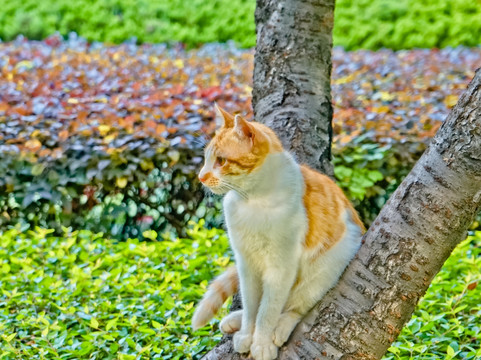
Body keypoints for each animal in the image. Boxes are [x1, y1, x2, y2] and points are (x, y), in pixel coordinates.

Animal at [191, 105, 364, 360]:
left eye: (221, 160)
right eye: (206, 159)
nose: (201, 176)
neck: (252, 201)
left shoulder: (280, 267)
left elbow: (268, 310)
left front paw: (261, 342)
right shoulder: (246, 263)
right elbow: (252, 305)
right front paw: (246, 333)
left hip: (328, 266)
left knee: (295, 307)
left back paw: (281, 327)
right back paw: (235, 320)